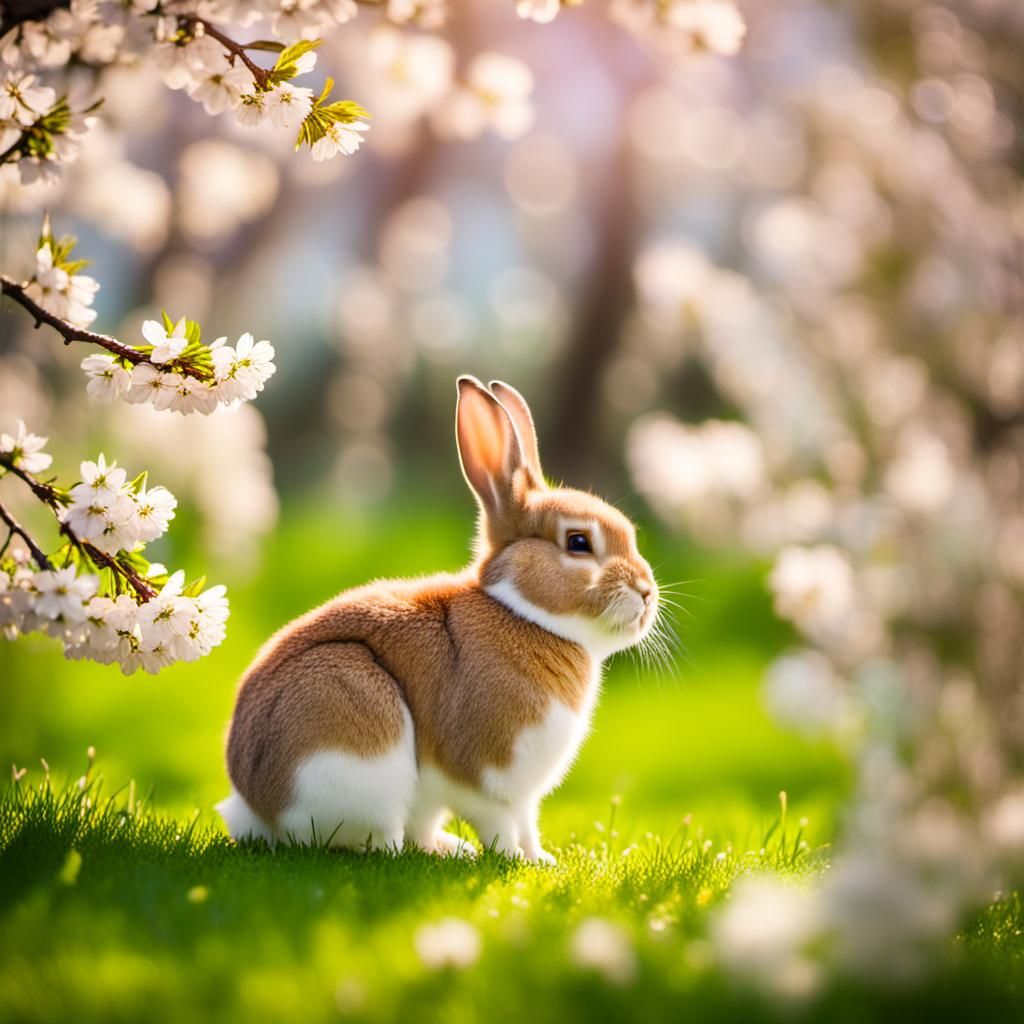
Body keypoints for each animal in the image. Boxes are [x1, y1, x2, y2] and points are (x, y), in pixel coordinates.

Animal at [216, 376, 659, 863]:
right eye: (578, 542)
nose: (646, 592)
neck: (525, 615)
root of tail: (254, 806)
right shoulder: (487, 781)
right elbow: (501, 825)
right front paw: (511, 859)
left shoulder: (523, 797)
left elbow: (528, 825)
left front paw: (540, 860)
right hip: (354, 728)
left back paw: (449, 849)